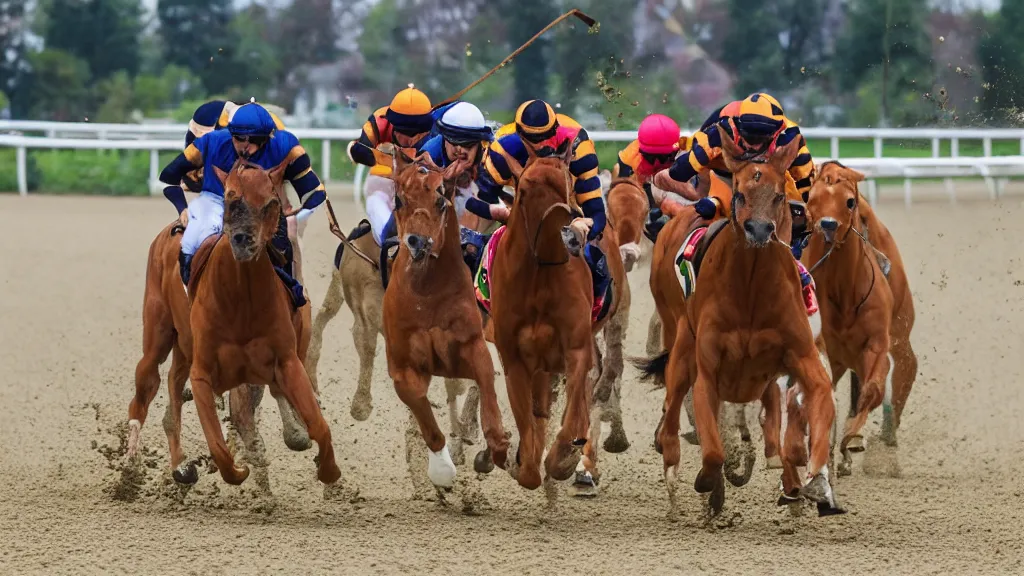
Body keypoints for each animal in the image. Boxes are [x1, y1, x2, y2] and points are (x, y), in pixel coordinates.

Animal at [183, 156, 339, 483]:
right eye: (229, 196)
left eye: (270, 202)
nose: (243, 240)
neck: (241, 301)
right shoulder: (203, 371)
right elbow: (218, 443)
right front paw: (239, 465)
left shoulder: (287, 360)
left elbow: (319, 425)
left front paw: (328, 467)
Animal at [380, 148, 507, 494]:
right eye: (399, 199)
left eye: (440, 200)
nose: (417, 242)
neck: (426, 291)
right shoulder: (402, 365)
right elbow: (423, 413)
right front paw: (442, 471)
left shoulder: (472, 346)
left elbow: (487, 386)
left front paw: (497, 447)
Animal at [485, 140, 622, 494]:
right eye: (524, 189)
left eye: (568, 182)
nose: (571, 236)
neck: (538, 275)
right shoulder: (515, 357)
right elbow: (528, 425)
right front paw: (518, 459)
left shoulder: (575, 348)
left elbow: (575, 412)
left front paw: (564, 459)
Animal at [634, 127, 843, 518]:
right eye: (741, 193)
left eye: (779, 195)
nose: (759, 230)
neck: (750, 290)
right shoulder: (708, 370)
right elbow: (714, 450)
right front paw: (708, 481)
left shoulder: (801, 356)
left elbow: (815, 400)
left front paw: (815, 482)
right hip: (679, 340)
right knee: (672, 402)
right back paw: (672, 464)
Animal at [802, 158, 917, 473]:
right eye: (811, 199)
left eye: (849, 201)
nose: (828, 226)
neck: (845, 294)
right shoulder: (823, 347)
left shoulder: (876, 343)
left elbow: (873, 390)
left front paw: (849, 441)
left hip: (900, 330)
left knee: (907, 364)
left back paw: (887, 433)